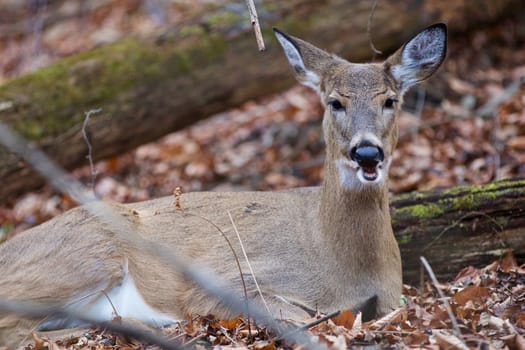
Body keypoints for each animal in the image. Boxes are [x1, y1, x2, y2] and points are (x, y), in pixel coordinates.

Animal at [0, 23, 446, 348]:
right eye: (335, 102)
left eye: (390, 100)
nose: (367, 153)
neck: (340, 260)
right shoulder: (228, 280)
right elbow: (298, 317)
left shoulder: (390, 297)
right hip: (88, 251)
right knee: (18, 330)